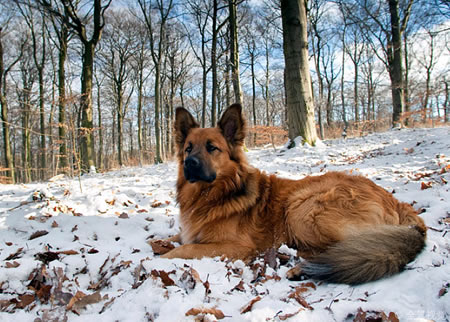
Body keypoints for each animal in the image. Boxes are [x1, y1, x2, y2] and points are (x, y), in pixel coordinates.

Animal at [160, 104, 428, 284]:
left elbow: (184, 250)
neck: (212, 195)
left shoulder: (236, 247)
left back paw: (303, 269)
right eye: (188, 148)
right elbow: (170, 240)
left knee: (357, 247)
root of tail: (398, 203)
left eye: (212, 148)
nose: (189, 163)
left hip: (303, 207)